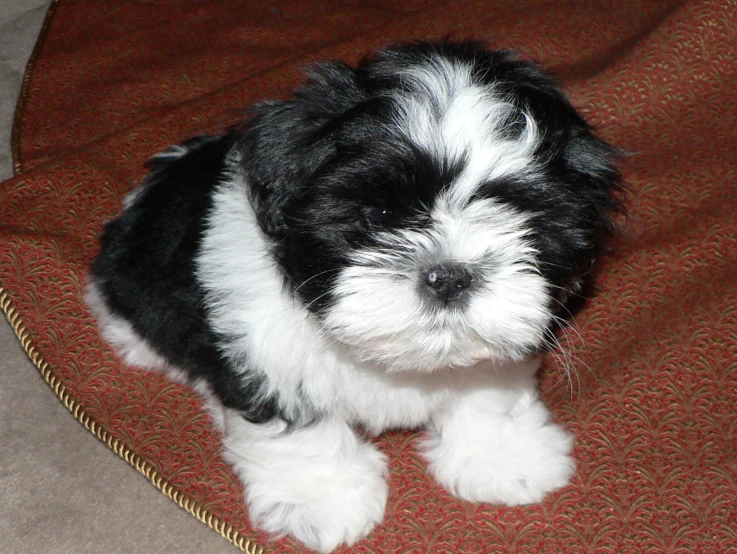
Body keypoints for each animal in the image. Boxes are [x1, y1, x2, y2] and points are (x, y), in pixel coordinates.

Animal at [89, 41, 624, 548]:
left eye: (521, 218)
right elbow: (299, 429)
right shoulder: (266, 348)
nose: (449, 275)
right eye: (379, 216)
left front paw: (504, 459)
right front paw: (319, 500)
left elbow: (488, 394)